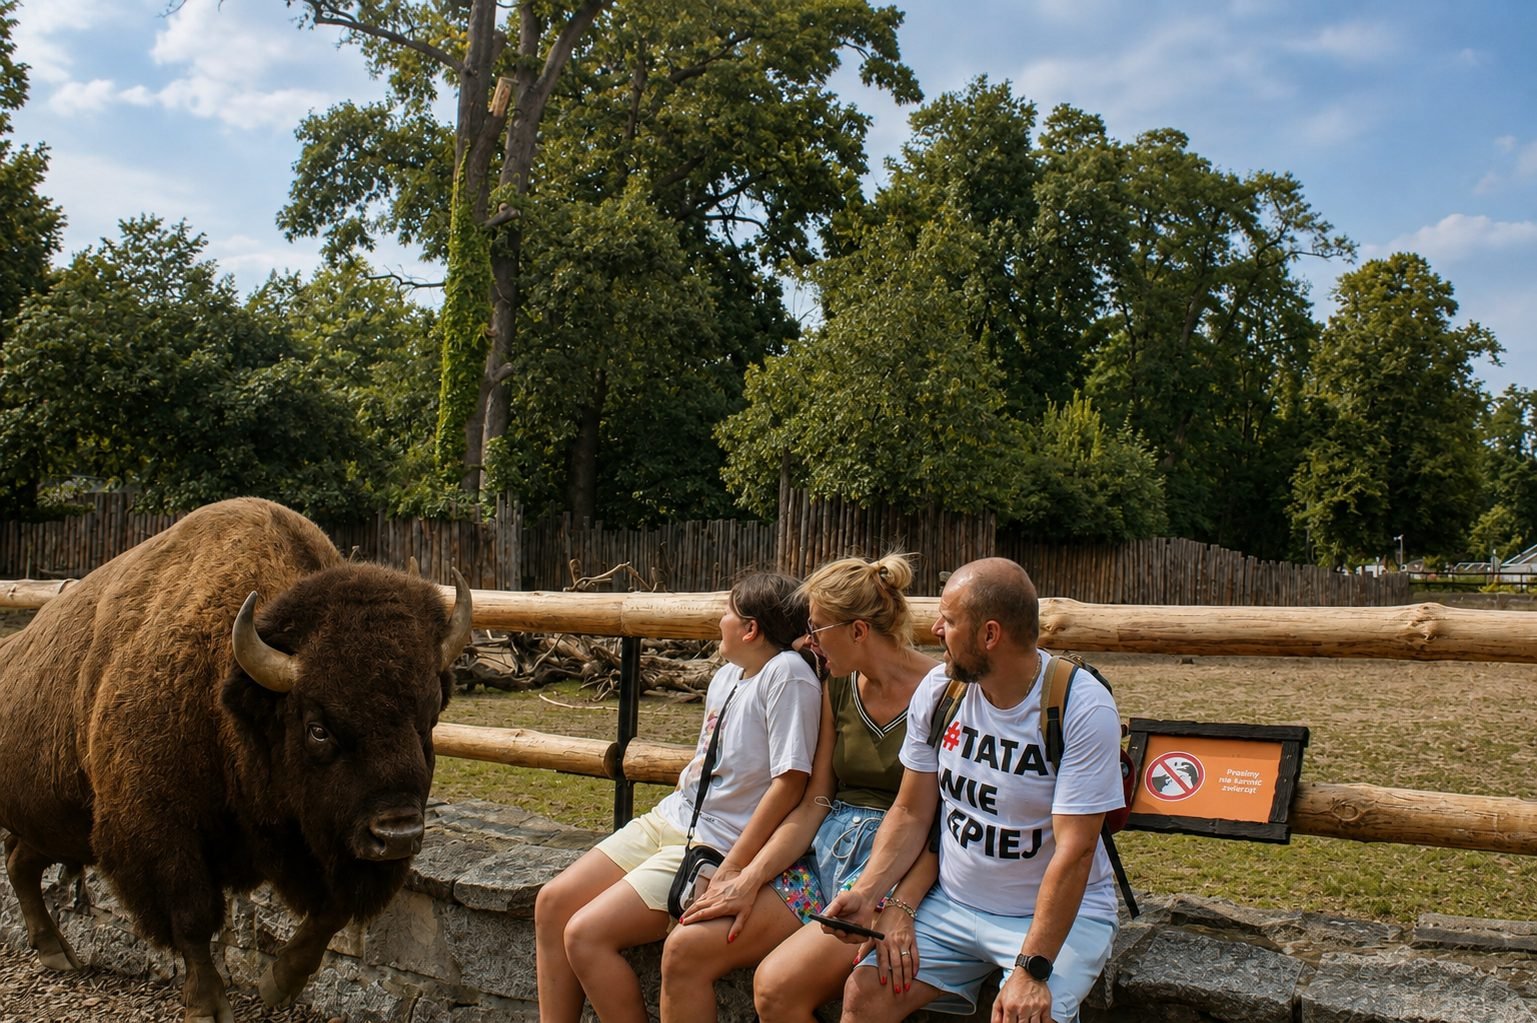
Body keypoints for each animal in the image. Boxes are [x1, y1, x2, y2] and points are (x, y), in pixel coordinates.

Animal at [0, 497, 473, 1023]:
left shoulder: (322, 840)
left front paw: (278, 984)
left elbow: (333, 908)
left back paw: (56, 953)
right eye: (318, 728)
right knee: (21, 865)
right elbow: (192, 919)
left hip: (56, 827)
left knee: (21, 863)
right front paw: (207, 1005)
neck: (229, 693)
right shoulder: (164, 836)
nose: (398, 835)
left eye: (429, 718)